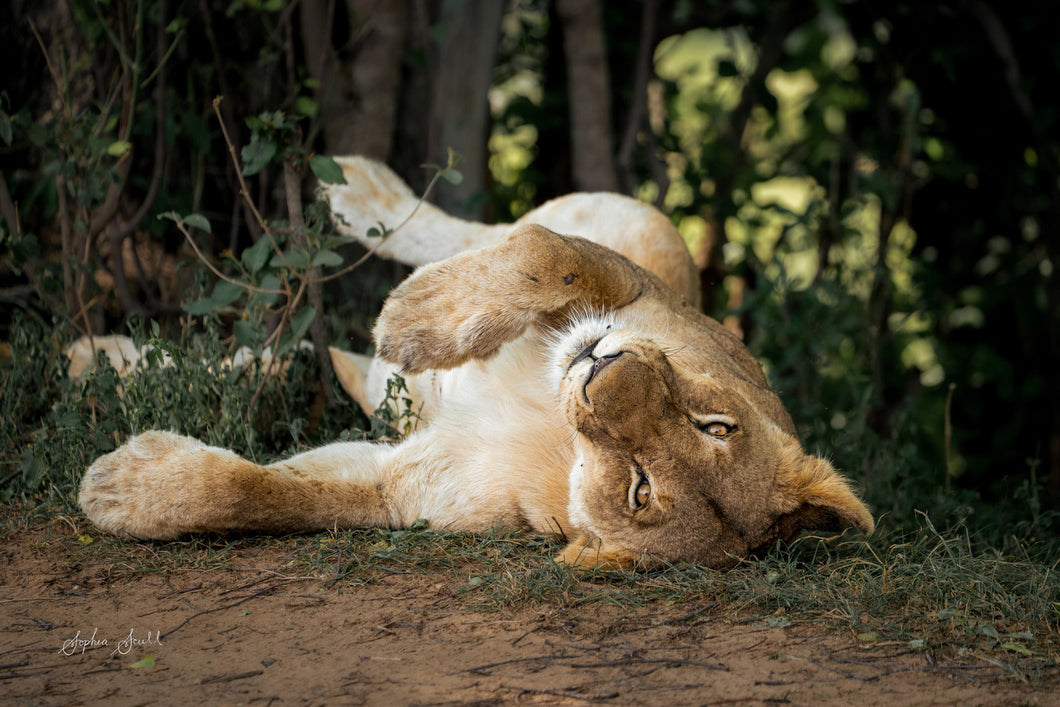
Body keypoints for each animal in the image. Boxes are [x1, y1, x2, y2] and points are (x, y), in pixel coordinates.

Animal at [78, 157, 874, 570]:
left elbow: (260, 497)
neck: (560, 428)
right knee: (487, 229)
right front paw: (412, 320)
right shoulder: (632, 288)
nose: (602, 367)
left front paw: (119, 489)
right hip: (651, 229)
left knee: (297, 360)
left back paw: (100, 360)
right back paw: (358, 189)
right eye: (717, 425)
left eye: (640, 492)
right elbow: (542, 258)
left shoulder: (404, 489)